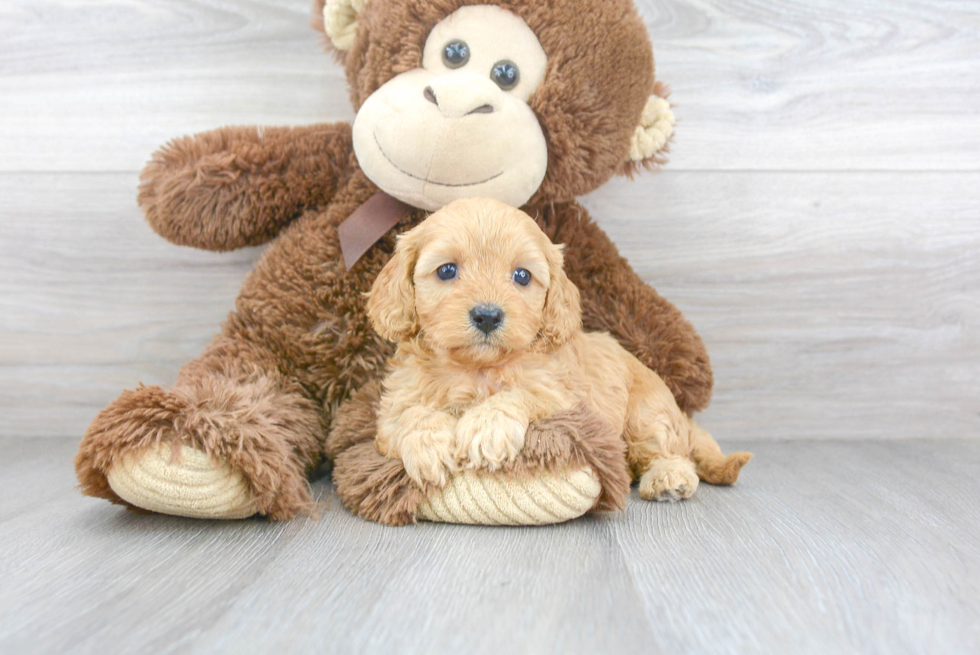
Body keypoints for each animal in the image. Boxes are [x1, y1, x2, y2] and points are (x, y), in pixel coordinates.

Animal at [368, 197, 752, 500]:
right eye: (447, 270)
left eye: (522, 276)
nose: (488, 316)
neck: (476, 368)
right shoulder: (393, 407)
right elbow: (410, 414)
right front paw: (428, 447)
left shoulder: (562, 397)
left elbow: (519, 394)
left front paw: (486, 427)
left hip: (646, 414)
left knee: (669, 449)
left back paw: (669, 477)